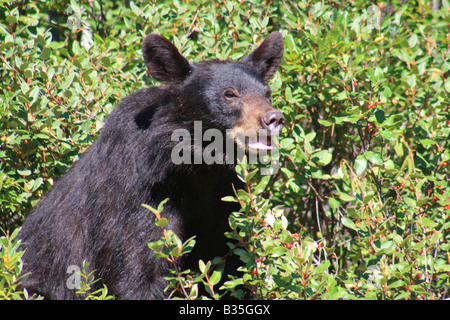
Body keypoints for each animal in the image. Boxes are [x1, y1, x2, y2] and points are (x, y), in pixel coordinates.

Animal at [19, 31, 284, 298]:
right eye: (230, 94)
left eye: (267, 93)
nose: (274, 119)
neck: (196, 168)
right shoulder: (139, 197)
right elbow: (138, 268)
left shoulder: (223, 201)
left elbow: (228, 268)